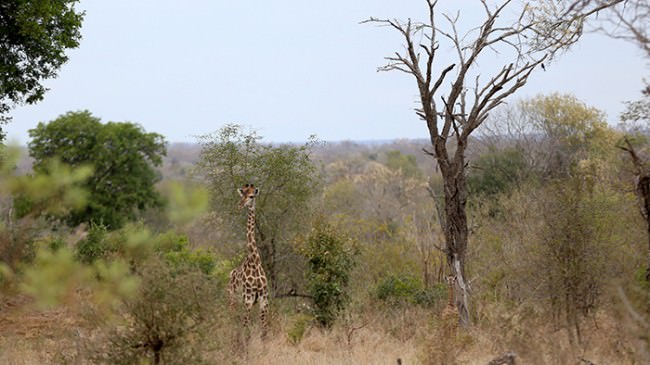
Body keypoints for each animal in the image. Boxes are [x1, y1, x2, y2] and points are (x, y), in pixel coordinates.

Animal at [228, 183, 268, 336]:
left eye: (251, 196)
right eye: (242, 194)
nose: (240, 205)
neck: (255, 262)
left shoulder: (263, 299)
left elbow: (264, 330)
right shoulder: (248, 299)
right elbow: (246, 329)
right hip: (233, 299)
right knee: (233, 321)